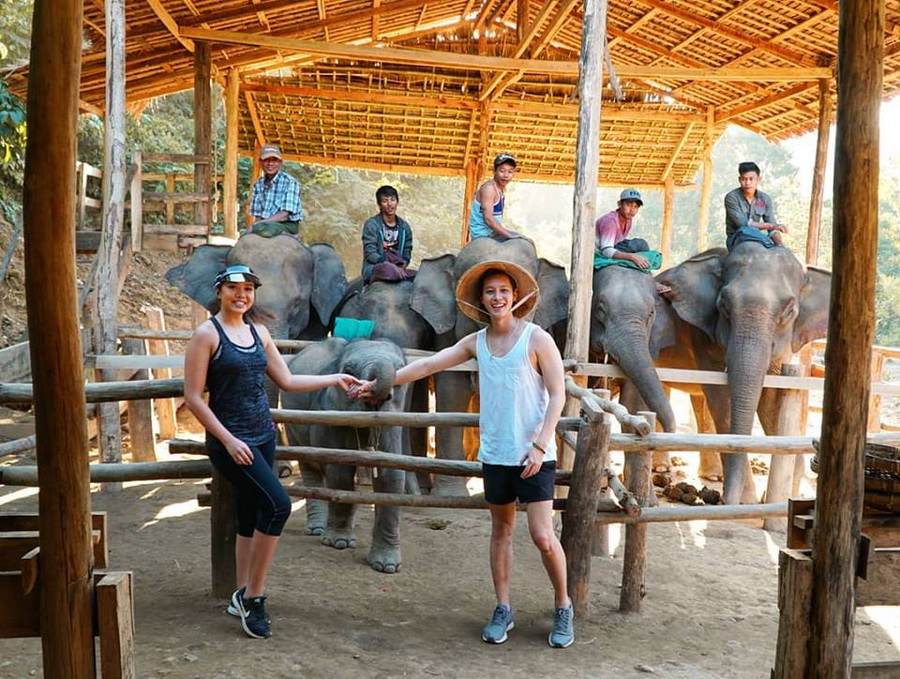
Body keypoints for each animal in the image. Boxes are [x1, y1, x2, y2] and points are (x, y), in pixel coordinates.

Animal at [284, 338, 410, 572]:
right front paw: (338, 543)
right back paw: (317, 529)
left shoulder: (395, 420)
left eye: (400, 372)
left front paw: (387, 566)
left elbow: (391, 476)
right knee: (310, 466)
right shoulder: (328, 413)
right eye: (348, 371)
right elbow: (339, 471)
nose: (370, 389)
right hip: (294, 423)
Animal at [652, 246, 832, 504]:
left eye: (789, 311)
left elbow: (772, 402)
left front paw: (784, 496)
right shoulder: (701, 336)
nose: (725, 499)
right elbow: (723, 400)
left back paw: (713, 476)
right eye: (723, 305)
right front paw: (747, 501)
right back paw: (663, 469)